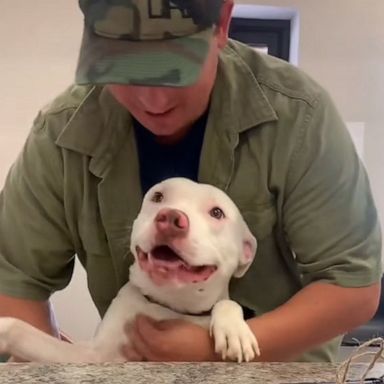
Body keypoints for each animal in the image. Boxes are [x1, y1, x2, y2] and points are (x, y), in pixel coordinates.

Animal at [0, 177, 260, 364]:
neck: (168, 305)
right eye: (158, 196)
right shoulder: (91, 355)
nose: (170, 217)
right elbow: (20, 329)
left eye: (217, 213)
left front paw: (234, 330)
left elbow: (228, 303)